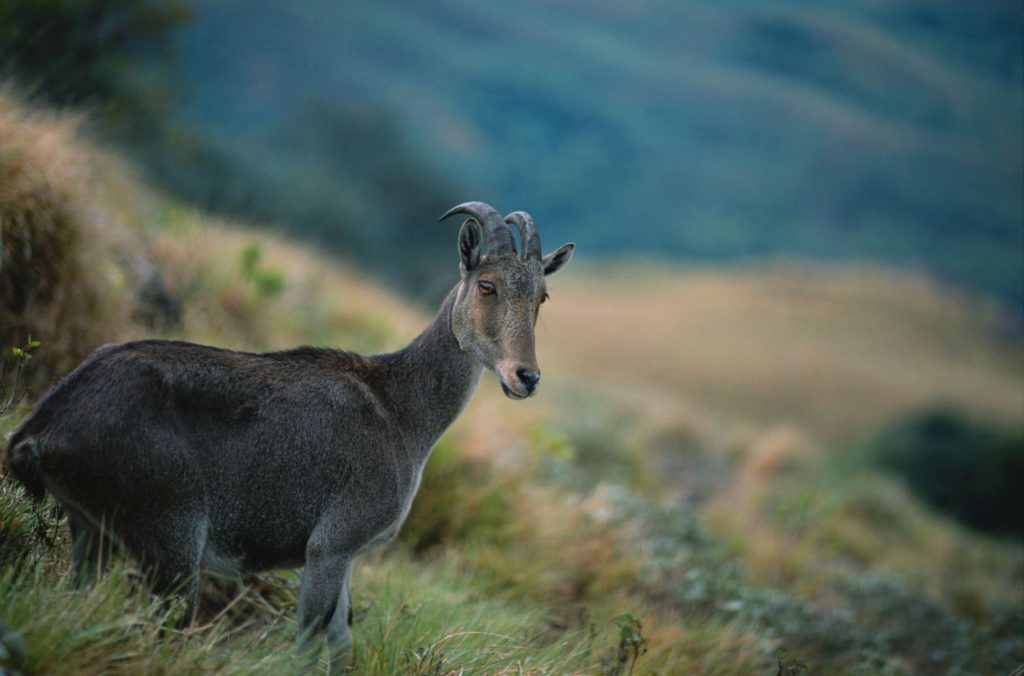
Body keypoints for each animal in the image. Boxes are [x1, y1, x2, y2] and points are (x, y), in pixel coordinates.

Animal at [4, 200, 573, 659]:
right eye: (487, 285)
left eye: (542, 296)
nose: (525, 377)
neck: (401, 408)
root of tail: (41, 429)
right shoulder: (331, 546)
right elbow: (310, 640)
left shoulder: (346, 559)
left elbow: (340, 640)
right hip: (168, 536)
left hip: (89, 528)